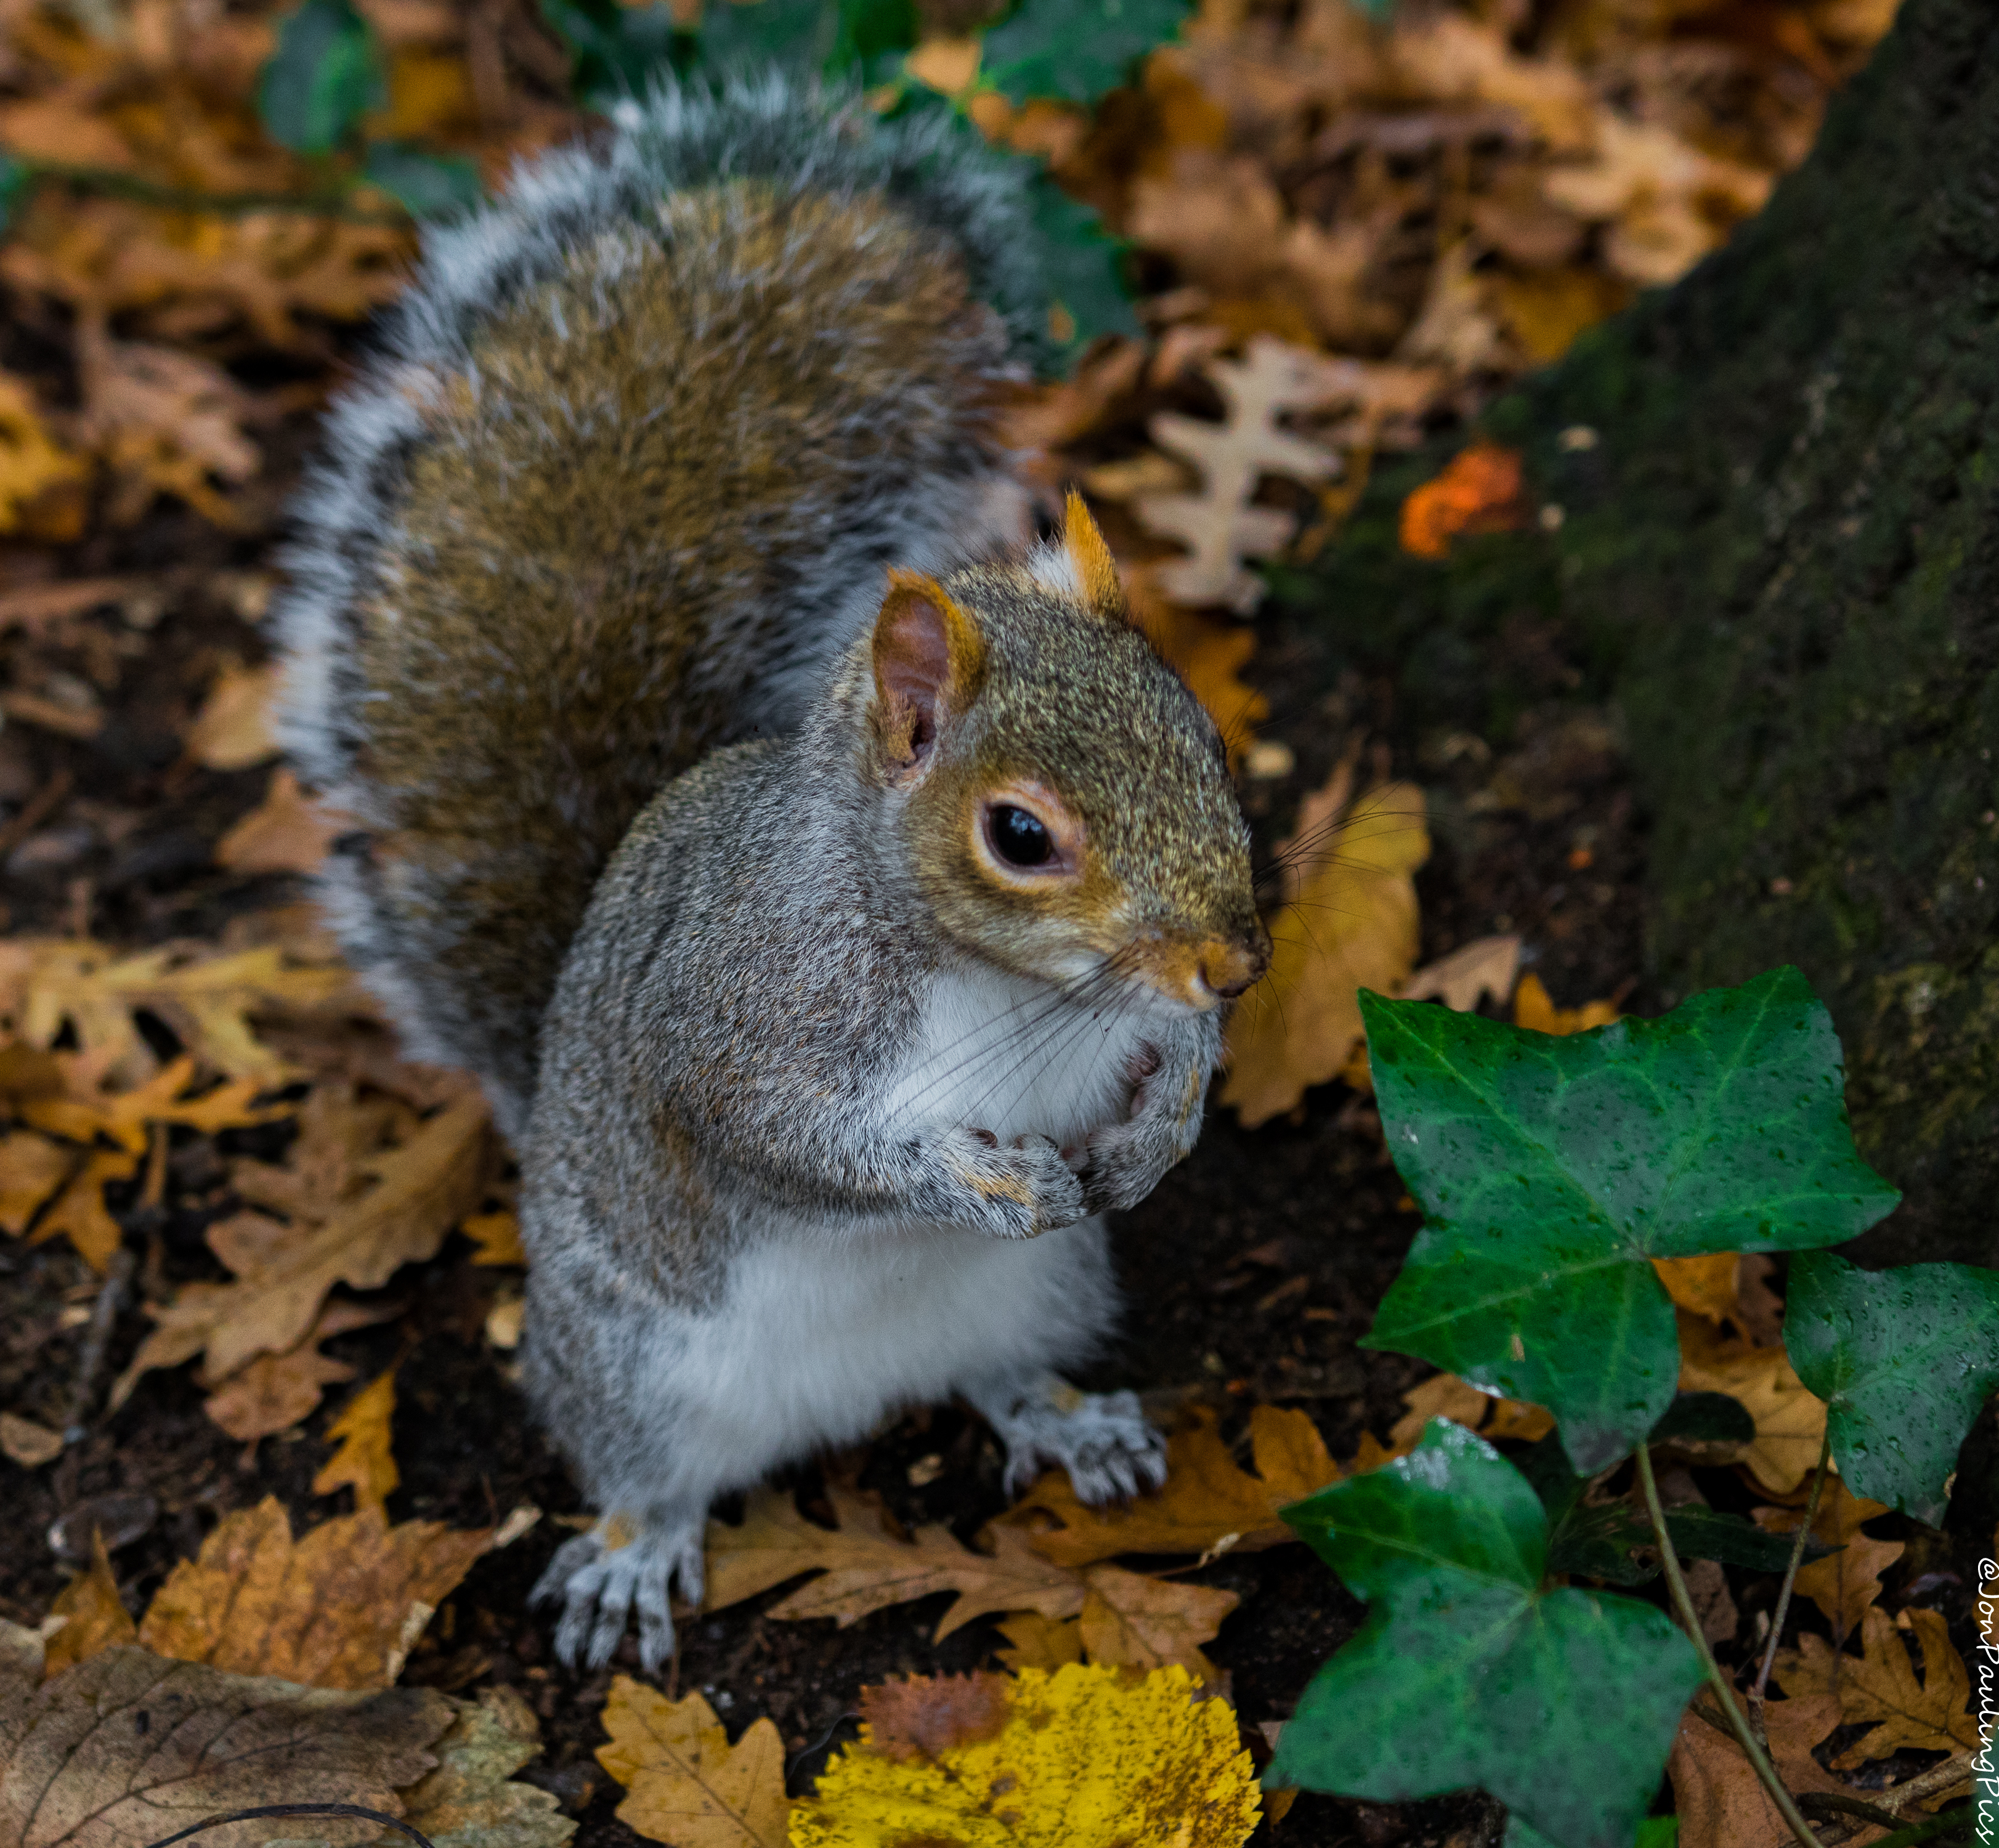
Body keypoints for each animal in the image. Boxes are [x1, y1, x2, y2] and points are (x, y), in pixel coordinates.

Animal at [270, 71, 1263, 1664]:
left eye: (1202, 739)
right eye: (1020, 835)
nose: (1236, 961)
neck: (997, 979)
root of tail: (856, 1397)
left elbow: (1170, 1054)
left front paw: (1157, 1130)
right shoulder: (737, 1007)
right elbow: (769, 1131)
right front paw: (967, 1174)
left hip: (1042, 1296)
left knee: (1004, 1375)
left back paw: (1069, 1421)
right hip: (635, 1364)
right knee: (643, 1472)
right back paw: (628, 1554)